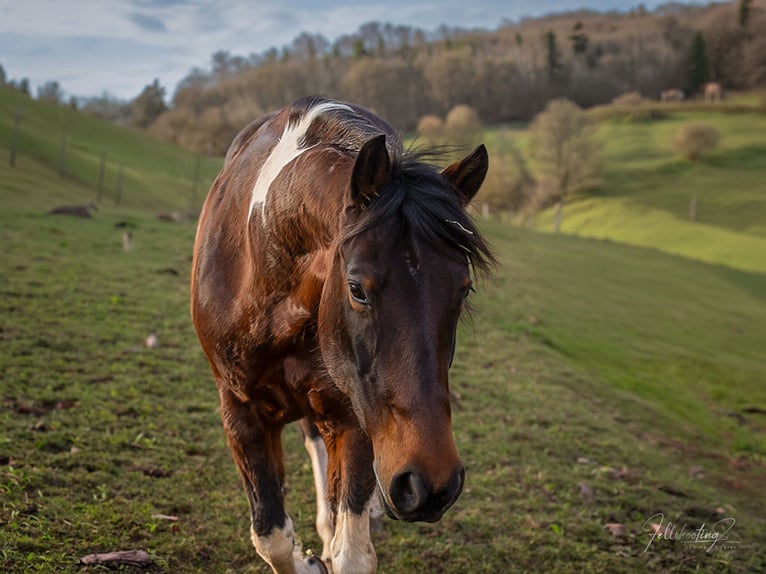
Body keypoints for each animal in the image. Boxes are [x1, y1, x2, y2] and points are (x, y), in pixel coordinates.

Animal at [190, 97, 493, 574]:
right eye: (357, 289)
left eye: (463, 290)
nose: (433, 483)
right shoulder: (239, 411)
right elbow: (272, 536)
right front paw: (307, 561)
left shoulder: (353, 416)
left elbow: (350, 552)